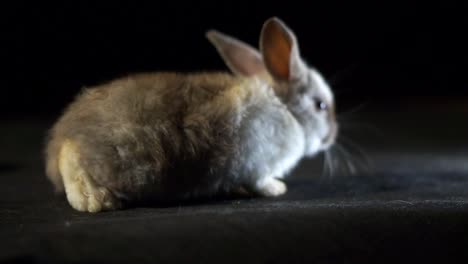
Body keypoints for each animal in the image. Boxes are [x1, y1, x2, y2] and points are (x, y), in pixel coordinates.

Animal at [44, 17, 336, 212]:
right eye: (321, 105)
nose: (332, 136)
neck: (286, 109)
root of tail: (64, 135)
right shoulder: (257, 163)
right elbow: (259, 181)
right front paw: (276, 188)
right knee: (71, 160)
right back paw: (97, 201)